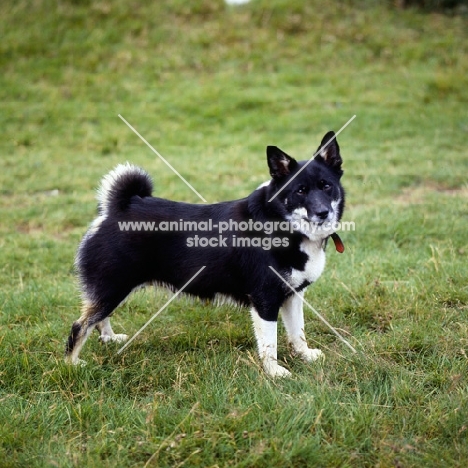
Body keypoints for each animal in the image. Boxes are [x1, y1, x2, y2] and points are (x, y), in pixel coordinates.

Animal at [65, 131, 344, 376]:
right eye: (300, 191)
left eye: (326, 186)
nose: (323, 213)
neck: (282, 222)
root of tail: (118, 208)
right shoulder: (265, 299)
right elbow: (269, 344)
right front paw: (274, 372)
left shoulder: (293, 295)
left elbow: (298, 332)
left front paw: (305, 356)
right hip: (114, 286)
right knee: (80, 326)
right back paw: (72, 364)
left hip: (114, 288)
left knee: (99, 319)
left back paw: (109, 339)